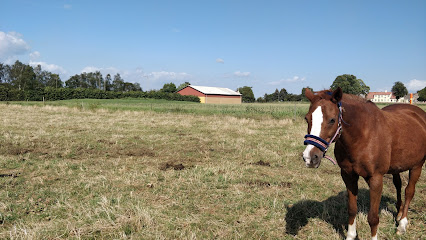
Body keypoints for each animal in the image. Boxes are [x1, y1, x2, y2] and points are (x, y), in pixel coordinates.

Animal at [302, 87, 424, 240]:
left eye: (332, 120)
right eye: (307, 118)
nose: (310, 157)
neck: (362, 136)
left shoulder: (376, 179)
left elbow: (373, 218)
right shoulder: (348, 176)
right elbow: (352, 209)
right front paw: (350, 235)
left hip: (417, 166)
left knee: (409, 191)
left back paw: (402, 224)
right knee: (398, 185)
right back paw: (398, 214)